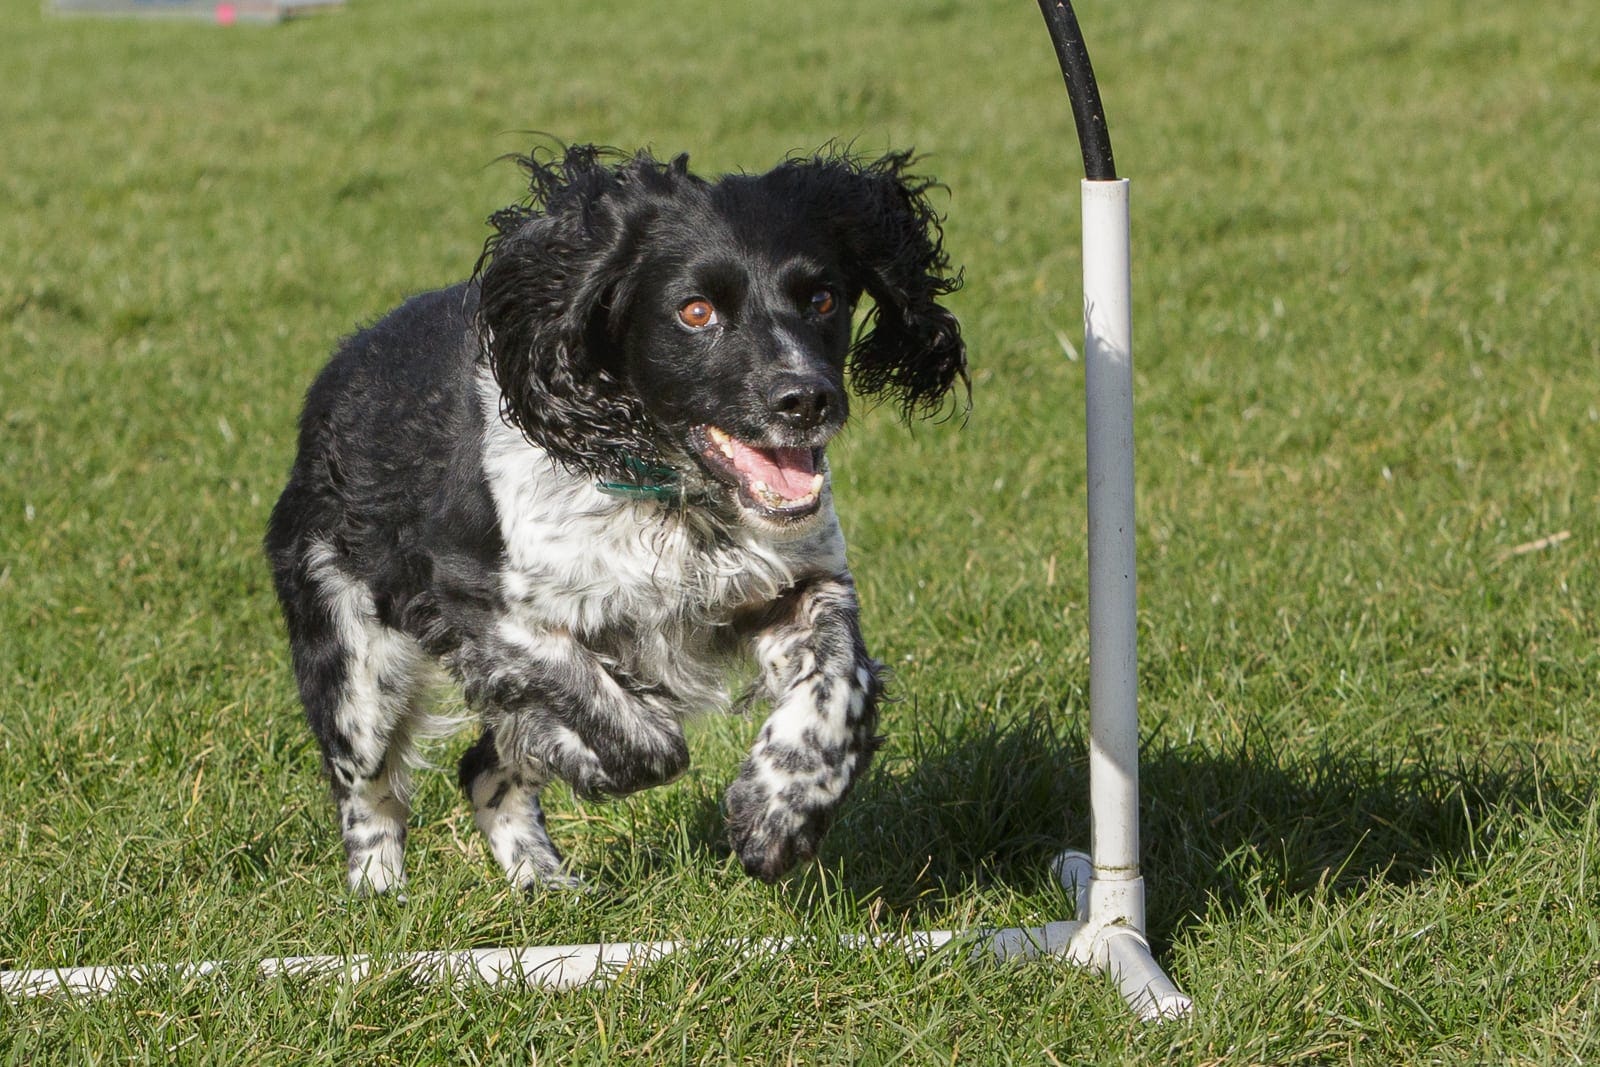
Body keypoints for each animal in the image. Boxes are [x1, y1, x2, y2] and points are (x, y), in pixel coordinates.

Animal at [265, 143, 960, 895]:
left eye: (823, 298)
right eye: (695, 311)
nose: (806, 398)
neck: (675, 501)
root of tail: (343, 366)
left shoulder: (799, 584)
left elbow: (838, 683)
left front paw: (779, 812)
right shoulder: (486, 610)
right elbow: (641, 737)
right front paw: (580, 751)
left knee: (481, 773)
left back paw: (543, 882)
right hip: (354, 659)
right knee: (369, 787)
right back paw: (380, 893)